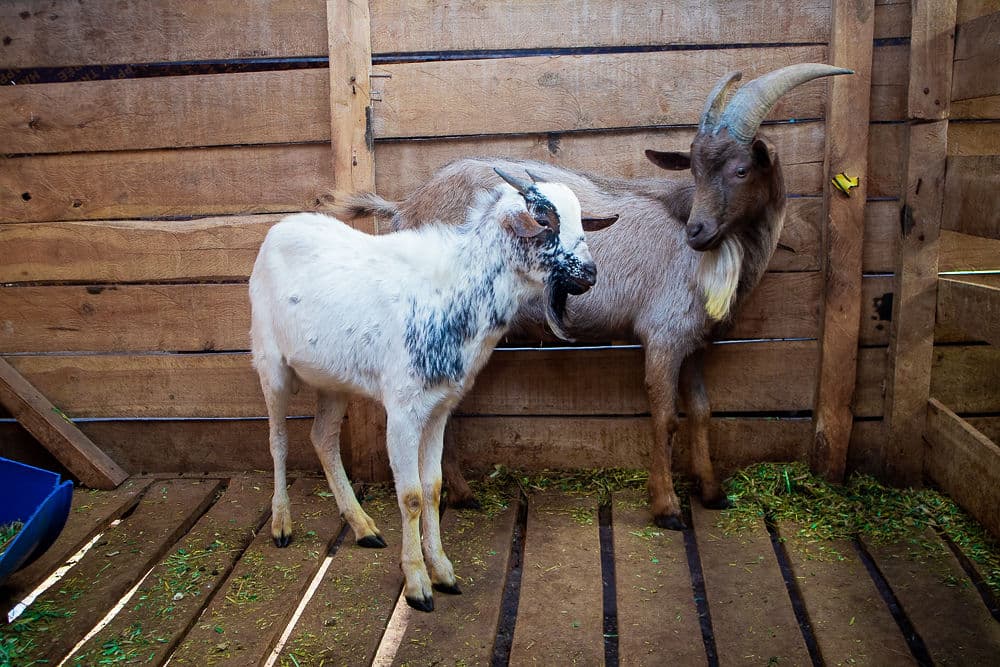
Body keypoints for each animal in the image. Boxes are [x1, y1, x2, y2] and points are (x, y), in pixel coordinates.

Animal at [249, 169, 616, 611]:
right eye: (544, 221)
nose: (589, 274)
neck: (453, 290)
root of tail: (282, 227)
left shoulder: (440, 407)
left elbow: (433, 488)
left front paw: (442, 570)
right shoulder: (403, 409)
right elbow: (409, 496)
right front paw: (417, 583)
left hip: (332, 379)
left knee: (322, 438)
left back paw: (363, 527)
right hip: (270, 363)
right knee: (278, 441)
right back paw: (281, 525)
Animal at [337, 63, 852, 530]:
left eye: (741, 169)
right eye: (696, 167)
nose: (696, 231)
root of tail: (404, 208)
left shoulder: (693, 341)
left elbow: (703, 411)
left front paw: (712, 492)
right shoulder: (662, 334)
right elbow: (664, 416)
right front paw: (667, 507)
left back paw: (461, 494)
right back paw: (460, 495)